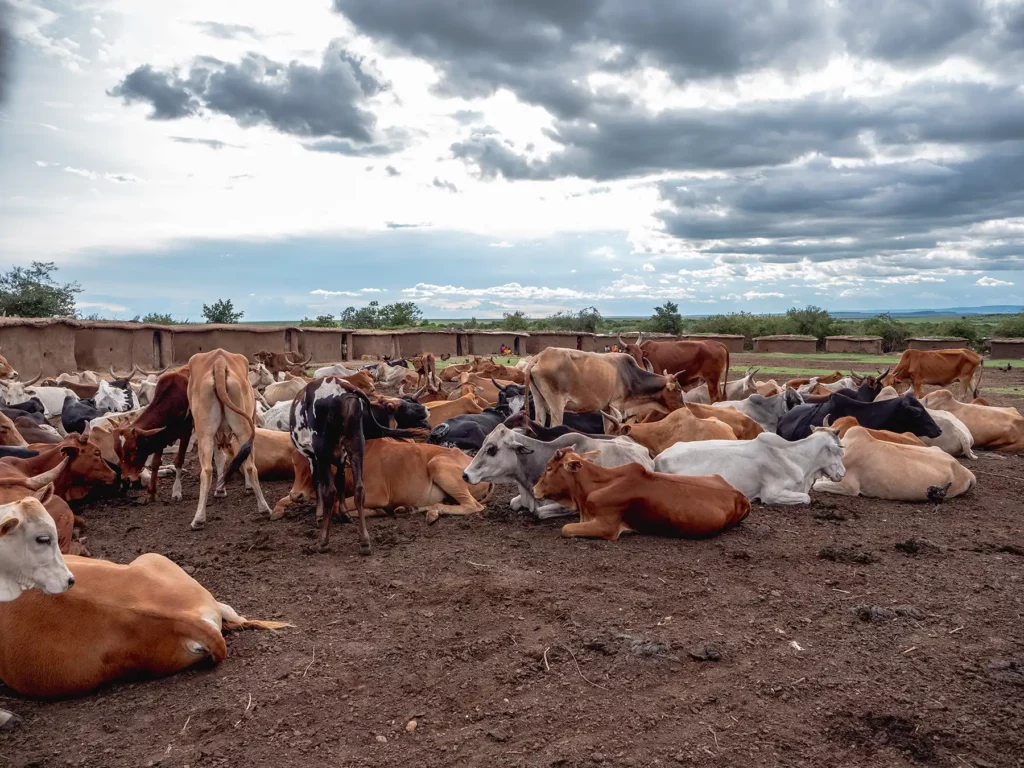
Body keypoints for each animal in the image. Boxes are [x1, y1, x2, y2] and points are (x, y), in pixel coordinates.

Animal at [186, 349, 270, 530]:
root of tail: (219, 361)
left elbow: (221, 459)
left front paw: (220, 489)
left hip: (206, 433)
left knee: (207, 470)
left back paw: (199, 518)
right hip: (242, 429)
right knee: (250, 466)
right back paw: (264, 508)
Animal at [525, 348, 686, 427]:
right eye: (678, 389)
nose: (685, 408)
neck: (630, 377)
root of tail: (539, 357)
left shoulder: (607, 409)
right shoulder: (616, 406)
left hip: (538, 399)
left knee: (539, 421)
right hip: (557, 405)